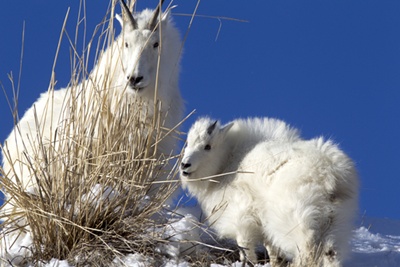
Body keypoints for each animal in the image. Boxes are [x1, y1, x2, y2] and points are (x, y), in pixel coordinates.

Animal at [180, 118, 358, 267]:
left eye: (207, 146)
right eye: (187, 143)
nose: (184, 165)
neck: (228, 160)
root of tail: (332, 174)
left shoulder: (241, 211)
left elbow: (244, 243)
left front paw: (248, 262)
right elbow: (271, 247)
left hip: (296, 215)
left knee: (307, 245)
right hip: (336, 221)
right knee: (331, 252)